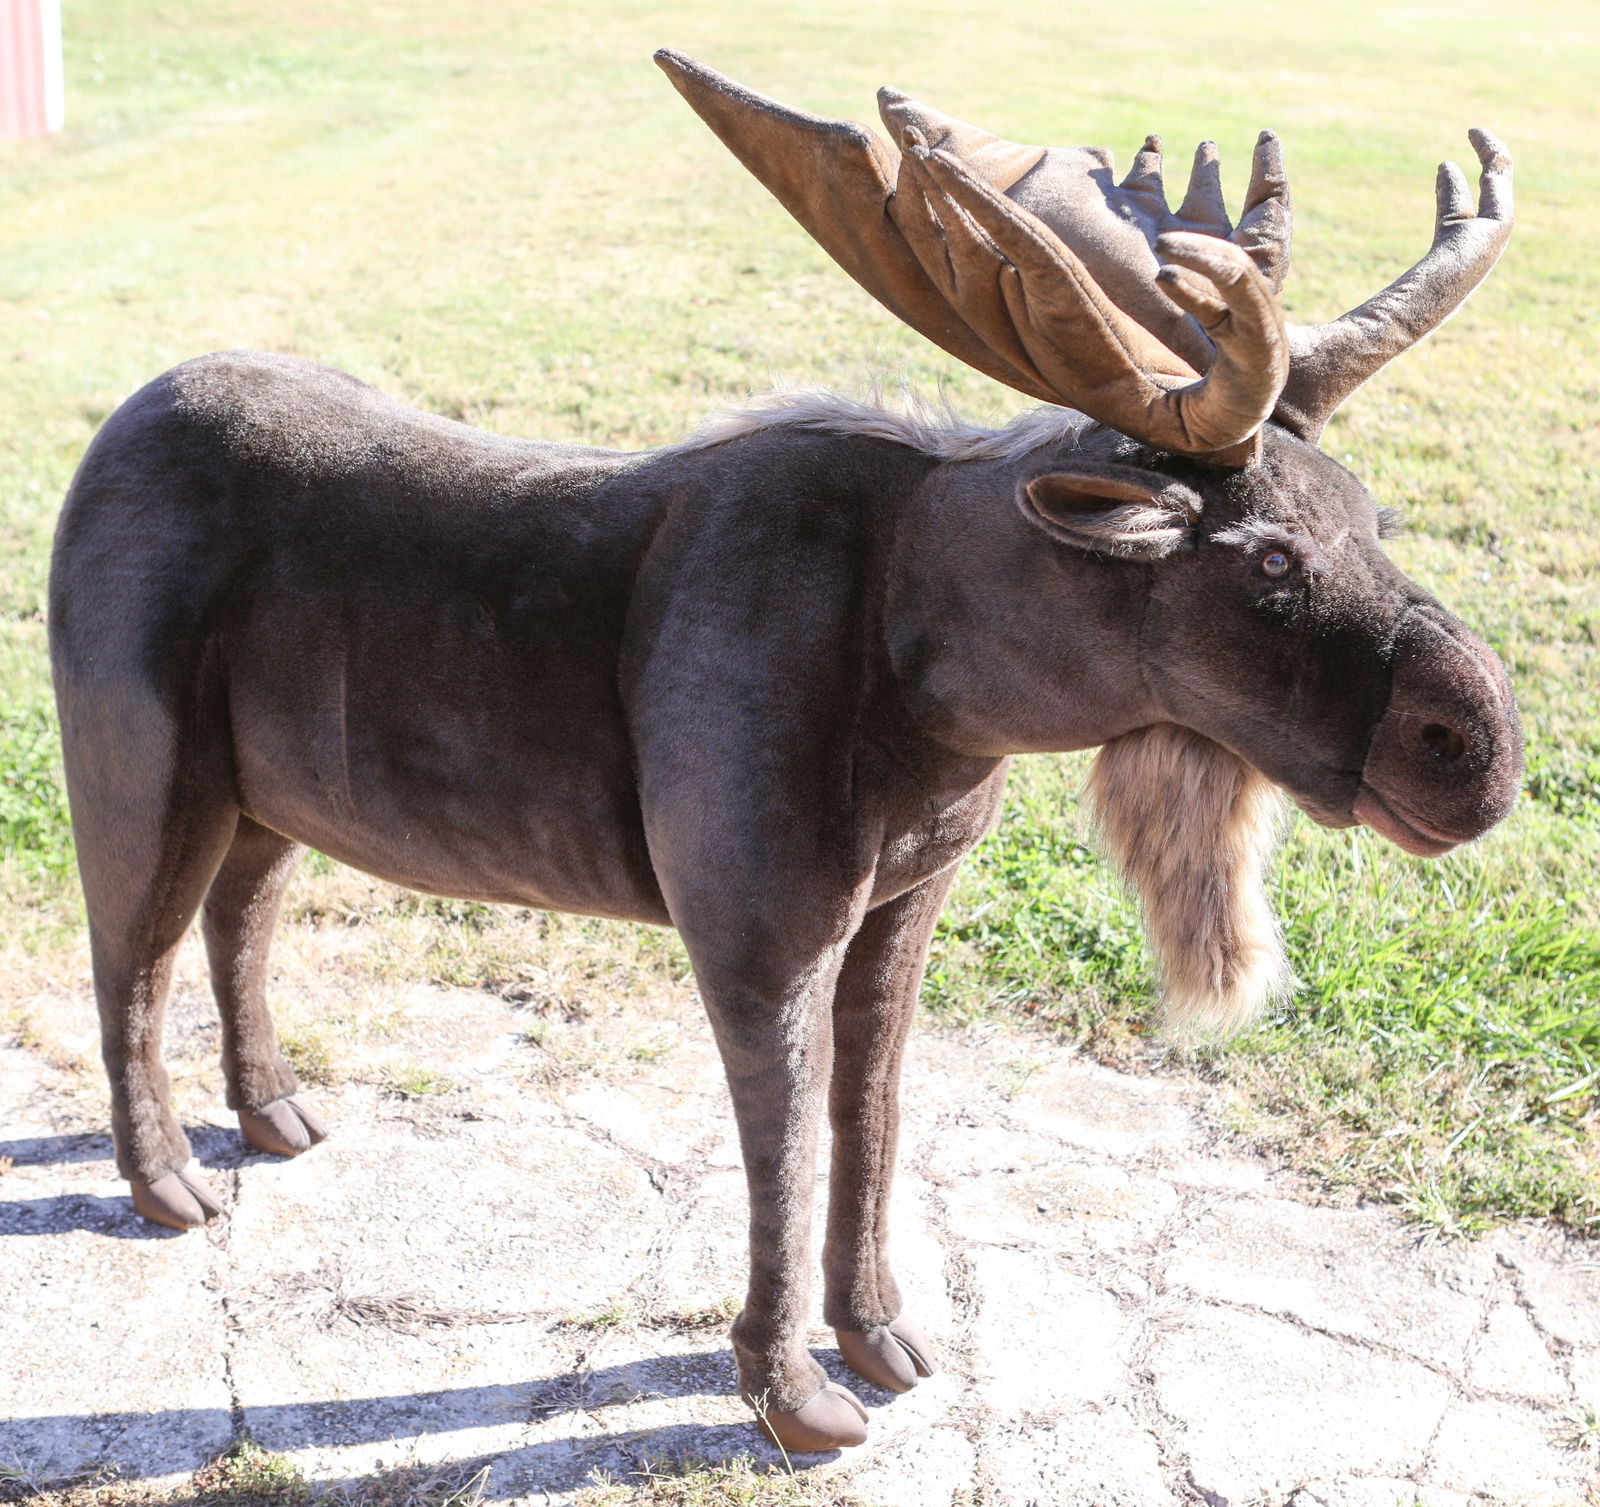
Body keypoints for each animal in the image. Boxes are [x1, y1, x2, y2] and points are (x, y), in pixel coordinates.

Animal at [48, 50, 1521, 1452]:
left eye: (1370, 515)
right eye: (1267, 558)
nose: (1479, 746)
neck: (946, 692)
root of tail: (107, 435)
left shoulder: (904, 899)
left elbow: (872, 1117)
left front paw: (881, 1333)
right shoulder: (751, 923)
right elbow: (788, 1148)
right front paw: (793, 1392)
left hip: (273, 793)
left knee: (239, 917)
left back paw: (274, 1113)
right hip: (138, 762)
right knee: (129, 951)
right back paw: (165, 1179)